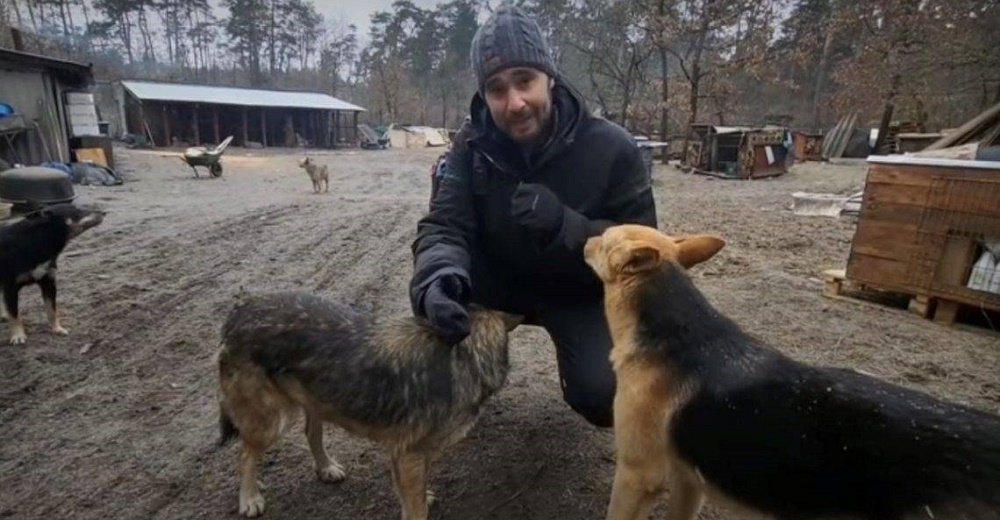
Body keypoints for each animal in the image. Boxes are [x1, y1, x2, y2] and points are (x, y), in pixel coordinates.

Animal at [0, 203, 106, 346]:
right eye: (76, 209)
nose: (104, 212)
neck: (37, 242)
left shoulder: (49, 282)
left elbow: (52, 310)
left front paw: (57, 329)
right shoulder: (10, 287)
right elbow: (14, 314)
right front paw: (18, 335)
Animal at [217, 290, 524, 516]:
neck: (463, 353)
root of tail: (237, 312)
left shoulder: (405, 457)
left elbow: (411, 495)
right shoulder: (409, 454)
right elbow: (416, 510)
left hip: (316, 398)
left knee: (310, 432)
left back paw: (325, 467)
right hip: (271, 422)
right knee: (245, 456)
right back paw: (249, 497)